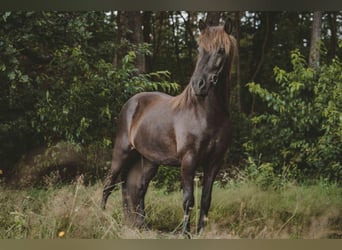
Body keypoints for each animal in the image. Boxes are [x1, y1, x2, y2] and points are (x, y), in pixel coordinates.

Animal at [100, 18, 236, 236]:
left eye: (221, 50)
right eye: (200, 48)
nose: (199, 85)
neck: (207, 114)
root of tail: (132, 102)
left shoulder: (214, 163)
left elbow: (206, 201)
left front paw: (200, 232)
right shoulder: (188, 160)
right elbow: (188, 200)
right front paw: (185, 234)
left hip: (148, 160)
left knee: (138, 189)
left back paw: (143, 227)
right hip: (121, 153)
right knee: (109, 184)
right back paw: (102, 218)